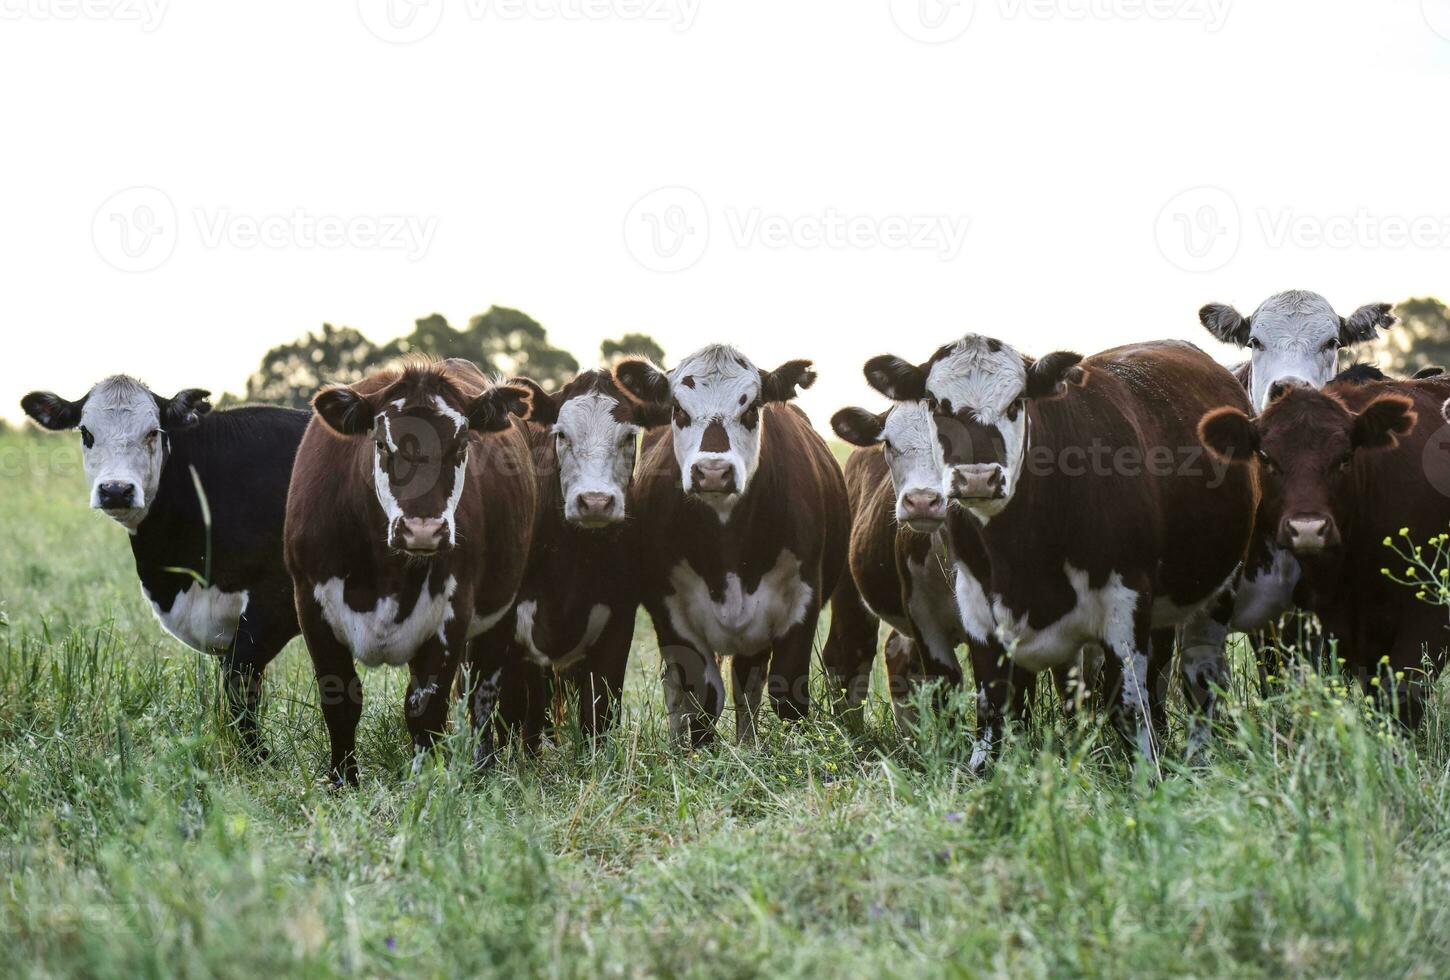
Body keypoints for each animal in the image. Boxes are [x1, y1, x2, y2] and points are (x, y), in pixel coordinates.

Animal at [19, 374, 308, 759]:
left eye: (152, 432)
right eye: (86, 433)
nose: (116, 490)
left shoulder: (276, 598)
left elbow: (238, 680)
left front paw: (258, 758)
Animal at [282, 359, 539, 788]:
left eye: (462, 444)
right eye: (382, 444)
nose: (423, 530)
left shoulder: (452, 612)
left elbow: (425, 708)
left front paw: (423, 783)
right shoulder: (310, 604)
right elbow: (340, 698)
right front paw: (342, 779)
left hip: (501, 608)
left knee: (482, 691)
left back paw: (482, 766)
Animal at [609, 345, 846, 742]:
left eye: (750, 409)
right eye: (679, 409)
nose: (713, 472)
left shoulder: (802, 600)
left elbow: (786, 693)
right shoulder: (671, 612)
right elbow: (702, 697)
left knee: (748, 684)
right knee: (679, 687)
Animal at [858, 339, 1258, 765]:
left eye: (1017, 402)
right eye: (935, 403)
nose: (978, 477)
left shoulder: (1127, 601)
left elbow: (1129, 709)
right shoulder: (977, 609)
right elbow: (991, 712)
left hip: (1216, 592)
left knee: (1200, 676)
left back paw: (1196, 755)